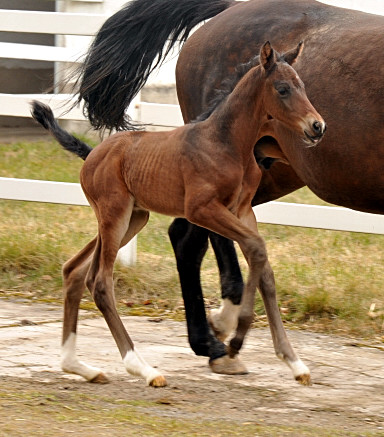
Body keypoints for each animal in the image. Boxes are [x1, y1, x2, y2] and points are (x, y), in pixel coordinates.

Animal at [32, 42, 324, 386]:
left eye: (303, 86)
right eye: (282, 89)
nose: (317, 126)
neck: (227, 143)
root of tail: (92, 154)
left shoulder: (242, 211)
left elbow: (264, 269)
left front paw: (294, 362)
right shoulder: (201, 209)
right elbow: (257, 248)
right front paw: (235, 340)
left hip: (132, 218)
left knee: (74, 270)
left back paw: (78, 366)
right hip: (115, 215)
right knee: (100, 282)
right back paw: (143, 368)